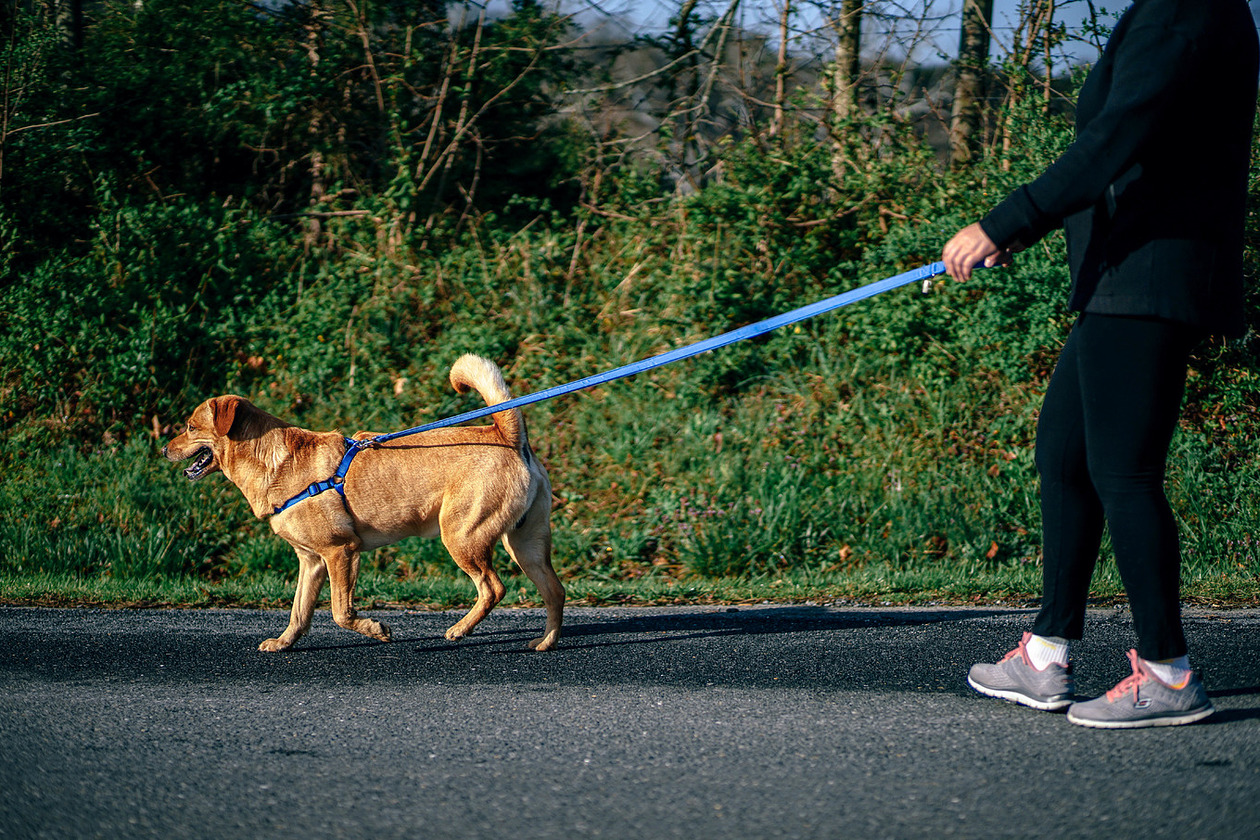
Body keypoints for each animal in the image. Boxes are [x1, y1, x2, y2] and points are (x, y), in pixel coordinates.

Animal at [161, 352, 561, 654]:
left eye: (190, 427)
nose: (164, 449)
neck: (270, 460)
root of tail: (505, 435)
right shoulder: (311, 561)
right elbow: (298, 611)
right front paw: (284, 642)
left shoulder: (341, 551)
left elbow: (341, 612)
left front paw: (376, 629)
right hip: (524, 545)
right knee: (554, 591)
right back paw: (545, 642)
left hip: (463, 536)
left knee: (493, 588)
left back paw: (460, 629)